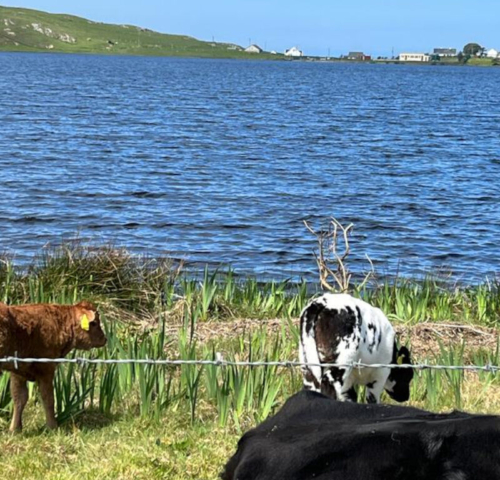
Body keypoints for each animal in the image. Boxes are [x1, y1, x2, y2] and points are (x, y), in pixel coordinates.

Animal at [0, 300, 106, 432]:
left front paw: (15, 429)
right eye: (94, 323)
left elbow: (19, 397)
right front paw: (52, 427)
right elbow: (48, 397)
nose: (105, 339)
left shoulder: (18, 370)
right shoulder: (46, 367)